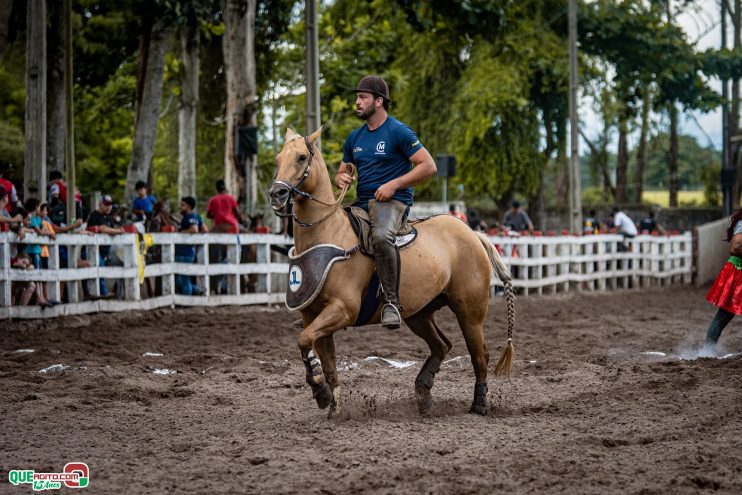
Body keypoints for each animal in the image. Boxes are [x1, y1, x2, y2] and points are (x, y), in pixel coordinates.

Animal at [268, 127, 516, 414]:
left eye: (301, 157)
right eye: (277, 159)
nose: (277, 194)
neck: (329, 234)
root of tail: (473, 234)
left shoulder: (343, 309)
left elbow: (305, 341)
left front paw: (320, 389)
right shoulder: (312, 316)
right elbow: (319, 355)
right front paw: (328, 399)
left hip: (470, 311)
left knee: (480, 355)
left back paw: (479, 403)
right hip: (419, 313)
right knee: (442, 345)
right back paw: (423, 391)